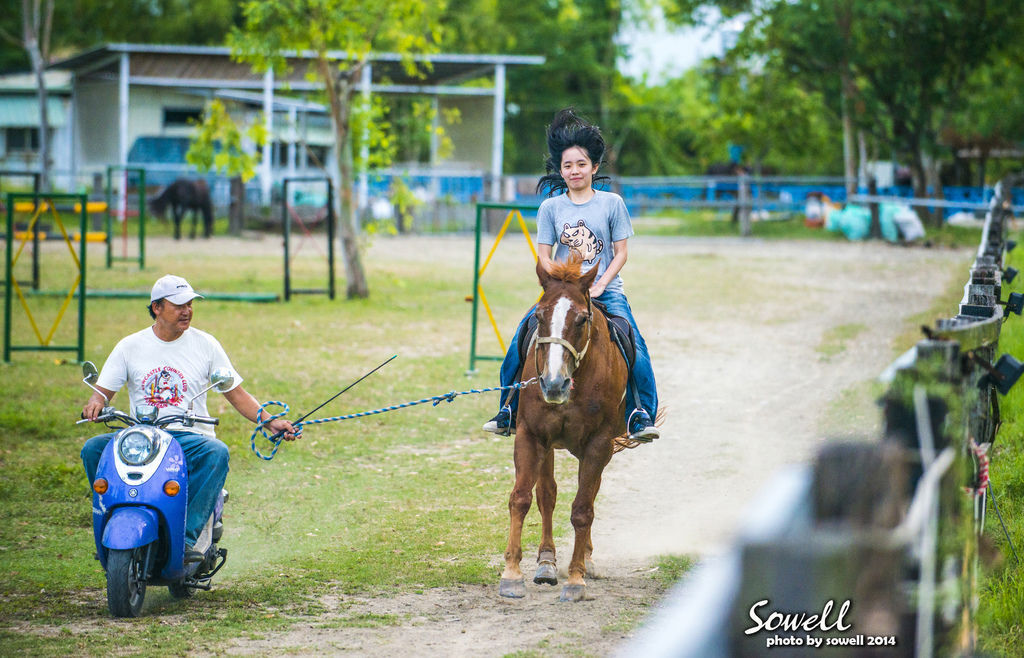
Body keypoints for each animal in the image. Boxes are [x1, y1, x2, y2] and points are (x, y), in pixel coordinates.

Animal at [499, 255, 634, 601]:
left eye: (582, 319)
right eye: (538, 316)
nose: (553, 383)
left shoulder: (599, 444)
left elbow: (582, 509)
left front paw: (576, 579)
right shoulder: (531, 435)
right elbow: (521, 498)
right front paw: (512, 574)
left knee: (589, 496)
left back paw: (586, 560)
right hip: (548, 446)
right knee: (547, 495)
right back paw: (546, 564)